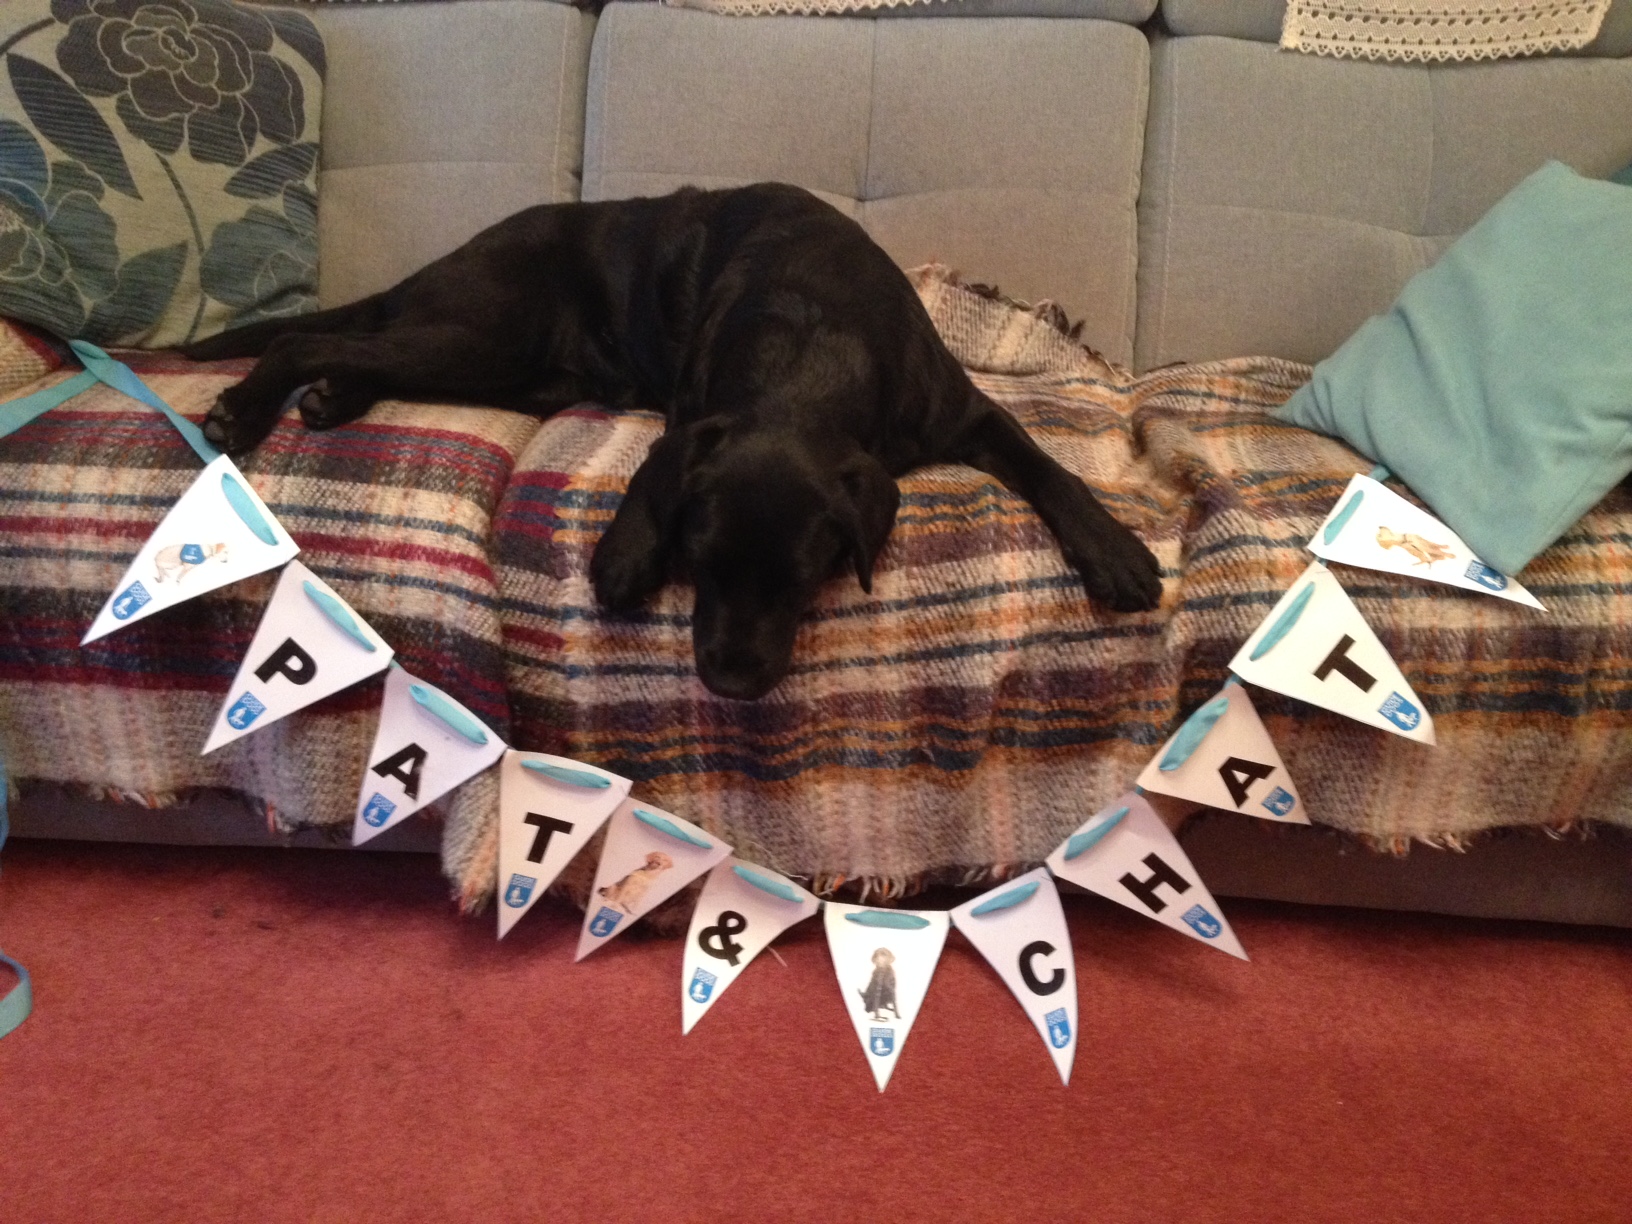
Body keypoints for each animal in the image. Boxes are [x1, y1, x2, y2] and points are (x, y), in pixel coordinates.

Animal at [185, 181, 1168, 698]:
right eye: (700, 564)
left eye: (803, 578)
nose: (730, 681)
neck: (809, 353)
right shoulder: (692, 419)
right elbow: (653, 476)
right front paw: (626, 550)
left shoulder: (964, 410)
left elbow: (1052, 471)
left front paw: (1117, 552)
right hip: (485, 331)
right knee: (312, 339)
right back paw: (251, 407)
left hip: (504, 364)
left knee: (364, 354)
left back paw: (329, 401)